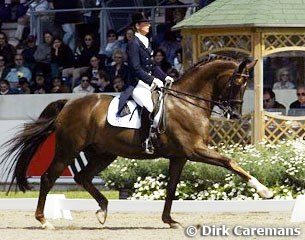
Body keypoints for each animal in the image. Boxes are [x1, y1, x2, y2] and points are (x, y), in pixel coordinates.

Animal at [0, 55, 270, 230]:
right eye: (237, 83)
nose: (234, 115)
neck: (188, 103)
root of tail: (68, 103)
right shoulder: (195, 150)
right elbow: (230, 162)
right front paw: (263, 190)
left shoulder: (180, 156)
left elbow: (171, 188)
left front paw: (169, 220)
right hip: (69, 149)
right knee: (49, 178)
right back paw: (44, 220)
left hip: (104, 154)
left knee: (83, 177)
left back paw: (103, 209)